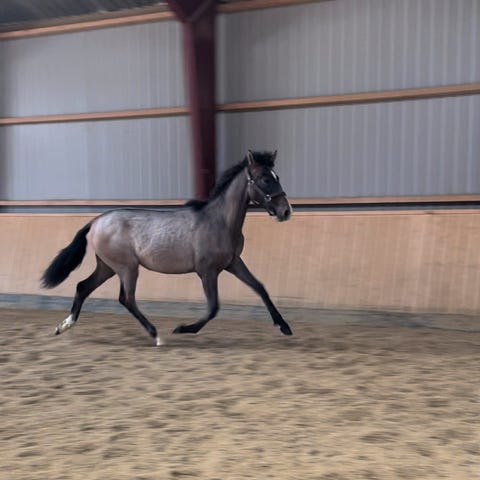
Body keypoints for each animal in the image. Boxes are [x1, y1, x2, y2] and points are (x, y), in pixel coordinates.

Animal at [41, 150, 293, 345]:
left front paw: (284, 326)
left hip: (107, 267)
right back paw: (156, 335)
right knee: (126, 299)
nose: (286, 211)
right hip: (127, 268)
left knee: (83, 287)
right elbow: (214, 307)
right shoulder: (207, 271)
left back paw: (63, 326)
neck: (220, 221)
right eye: (264, 179)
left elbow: (260, 288)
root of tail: (96, 221)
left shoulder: (233, 263)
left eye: (277, 176)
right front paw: (183, 329)